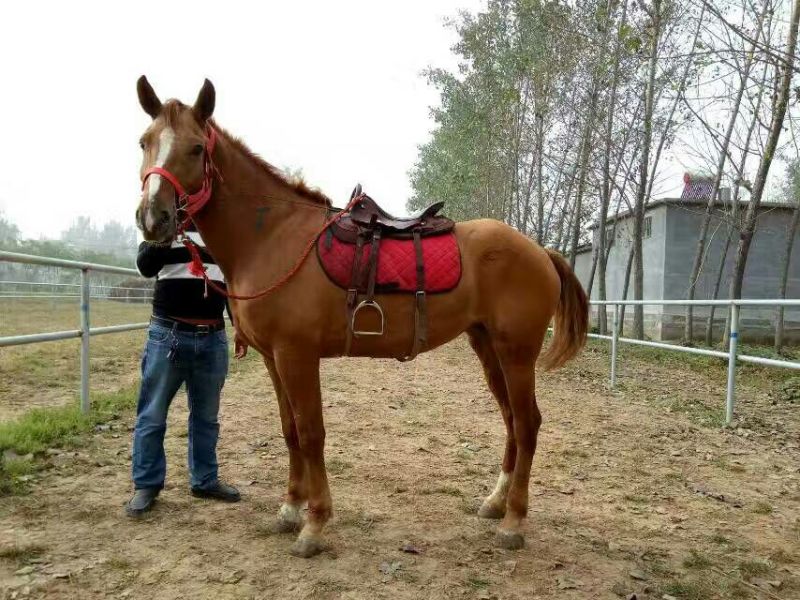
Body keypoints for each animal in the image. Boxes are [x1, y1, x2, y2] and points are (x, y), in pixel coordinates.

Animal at [134, 76, 588, 558]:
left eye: (196, 148)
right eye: (145, 142)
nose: (153, 217)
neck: (273, 236)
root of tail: (539, 250)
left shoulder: (297, 356)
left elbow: (311, 432)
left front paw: (314, 524)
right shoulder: (274, 360)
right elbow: (289, 430)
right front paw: (290, 508)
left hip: (516, 353)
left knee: (528, 423)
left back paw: (514, 521)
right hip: (488, 348)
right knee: (511, 422)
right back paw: (496, 503)